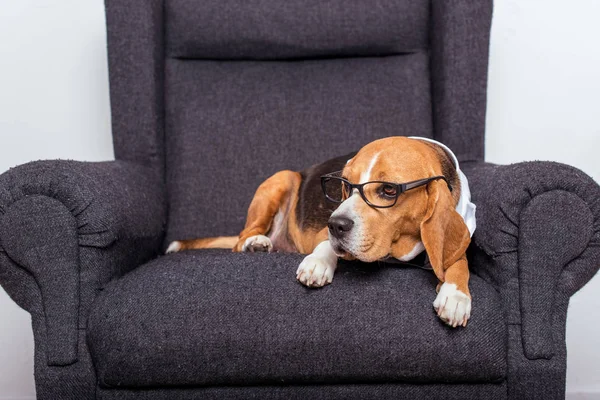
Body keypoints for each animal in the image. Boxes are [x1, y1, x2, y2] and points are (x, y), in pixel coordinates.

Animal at [169, 138, 478, 328]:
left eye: (389, 190)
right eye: (345, 185)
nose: (336, 225)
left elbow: (459, 260)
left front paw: (456, 295)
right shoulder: (322, 231)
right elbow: (325, 246)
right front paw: (318, 263)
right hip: (282, 178)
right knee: (243, 237)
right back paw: (256, 243)